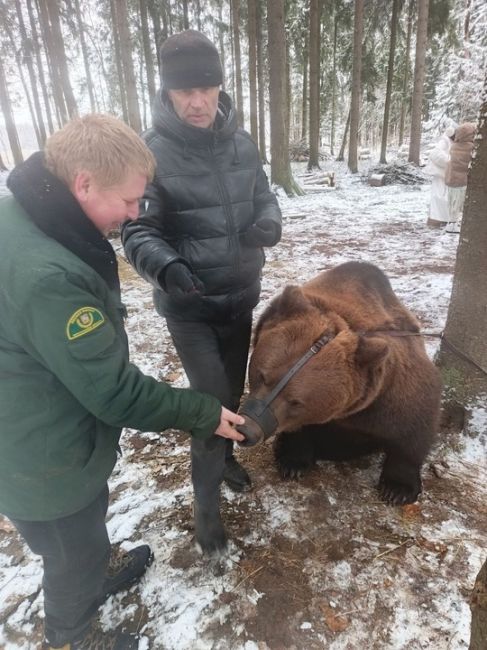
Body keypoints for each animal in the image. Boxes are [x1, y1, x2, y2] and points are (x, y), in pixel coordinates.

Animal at [238, 260, 444, 504]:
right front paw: (292, 462)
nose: (247, 430)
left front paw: (397, 490)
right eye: (262, 375)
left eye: (296, 401)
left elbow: (412, 431)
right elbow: (299, 433)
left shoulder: (393, 391)